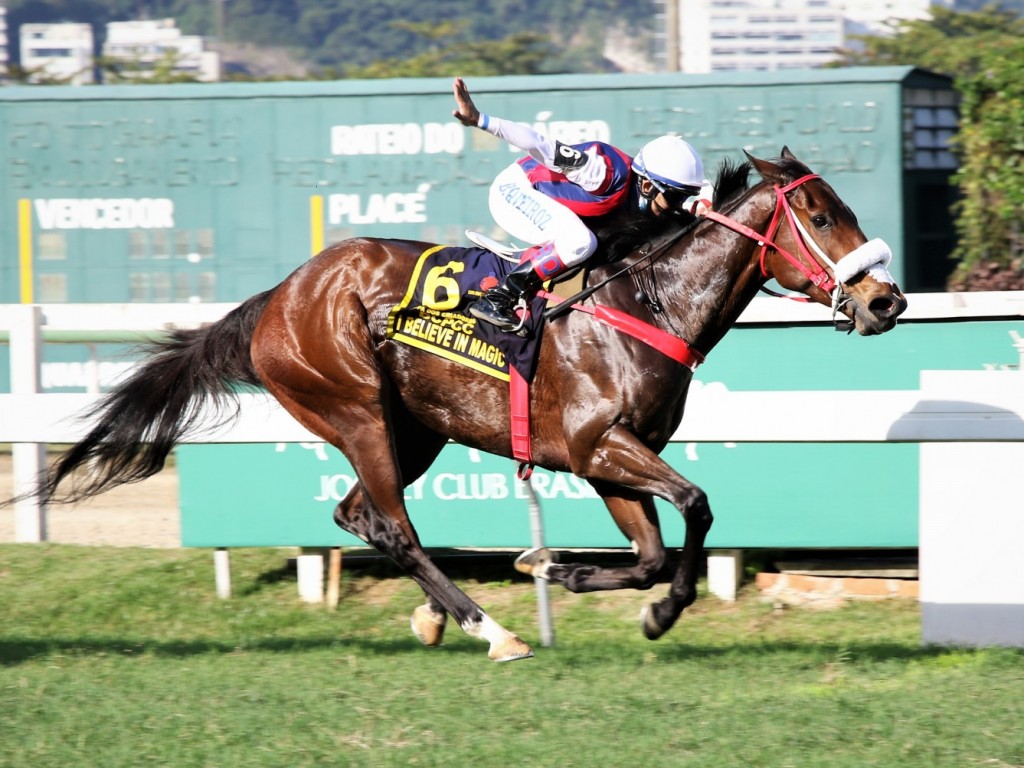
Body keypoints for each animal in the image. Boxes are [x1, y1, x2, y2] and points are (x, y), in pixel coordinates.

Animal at [28, 148, 905, 663]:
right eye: (822, 215)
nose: (887, 300)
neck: (648, 305)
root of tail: (279, 296)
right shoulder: (597, 445)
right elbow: (697, 503)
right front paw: (638, 605)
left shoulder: (610, 462)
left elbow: (654, 551)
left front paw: (572, 574)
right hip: (356, 410)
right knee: (396, 527)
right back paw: (492, 629)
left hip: (415, 430)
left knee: (359, 515)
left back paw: (439, 617)